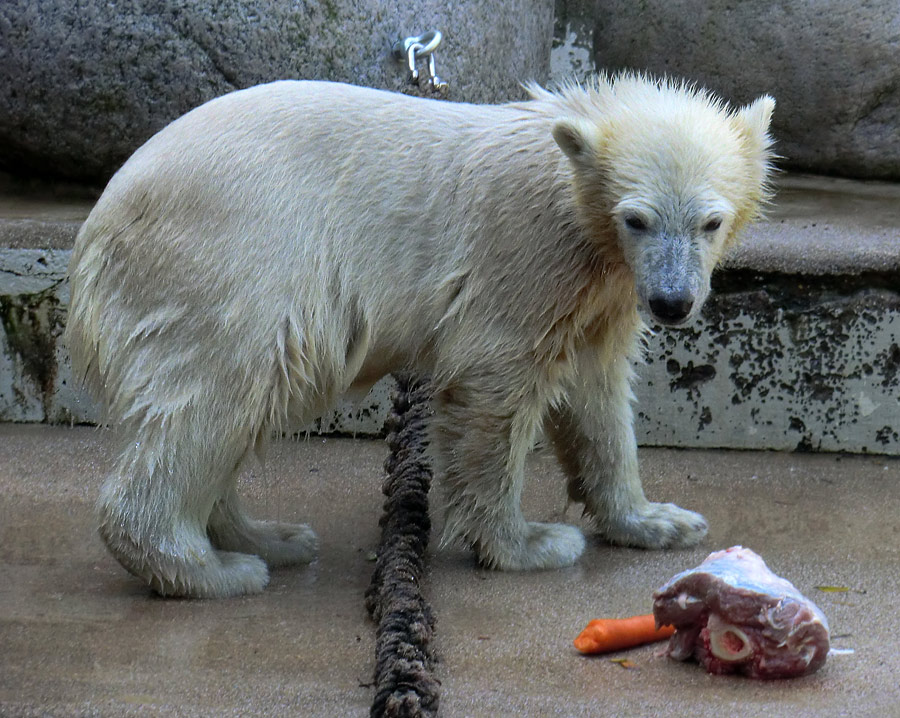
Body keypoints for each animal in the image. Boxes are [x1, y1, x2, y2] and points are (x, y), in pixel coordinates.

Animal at [67, 76, 776, 600]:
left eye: (711, 221)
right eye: (637, 218)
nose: (673, 302)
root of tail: (100, 221)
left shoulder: (598, 290)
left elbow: (595, 392)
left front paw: (658, 521)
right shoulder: (525, 250)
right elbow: (496, 385)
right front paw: (529, 544)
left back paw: (270, 538)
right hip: (229, 257)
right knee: (220, 393)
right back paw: (213, 570)